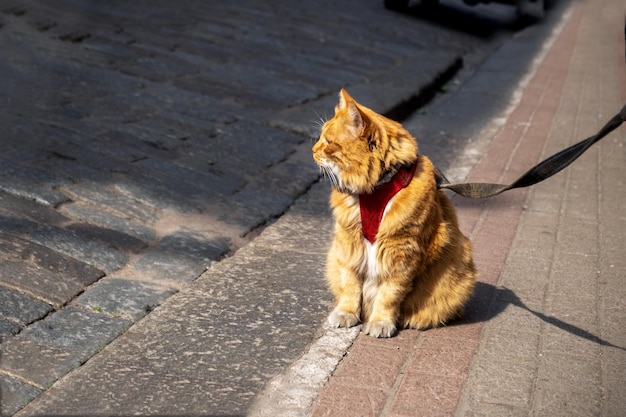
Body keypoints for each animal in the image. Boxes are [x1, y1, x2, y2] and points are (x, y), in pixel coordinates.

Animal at [312, 88, 472, 338]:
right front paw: (347, 313)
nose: (312, 151)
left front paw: (380, 321)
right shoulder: (349, 246)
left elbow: (389, 295)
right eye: (320, 138)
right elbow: (350, 286)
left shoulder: (401, 253)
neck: (374, 189)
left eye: (328, 142)